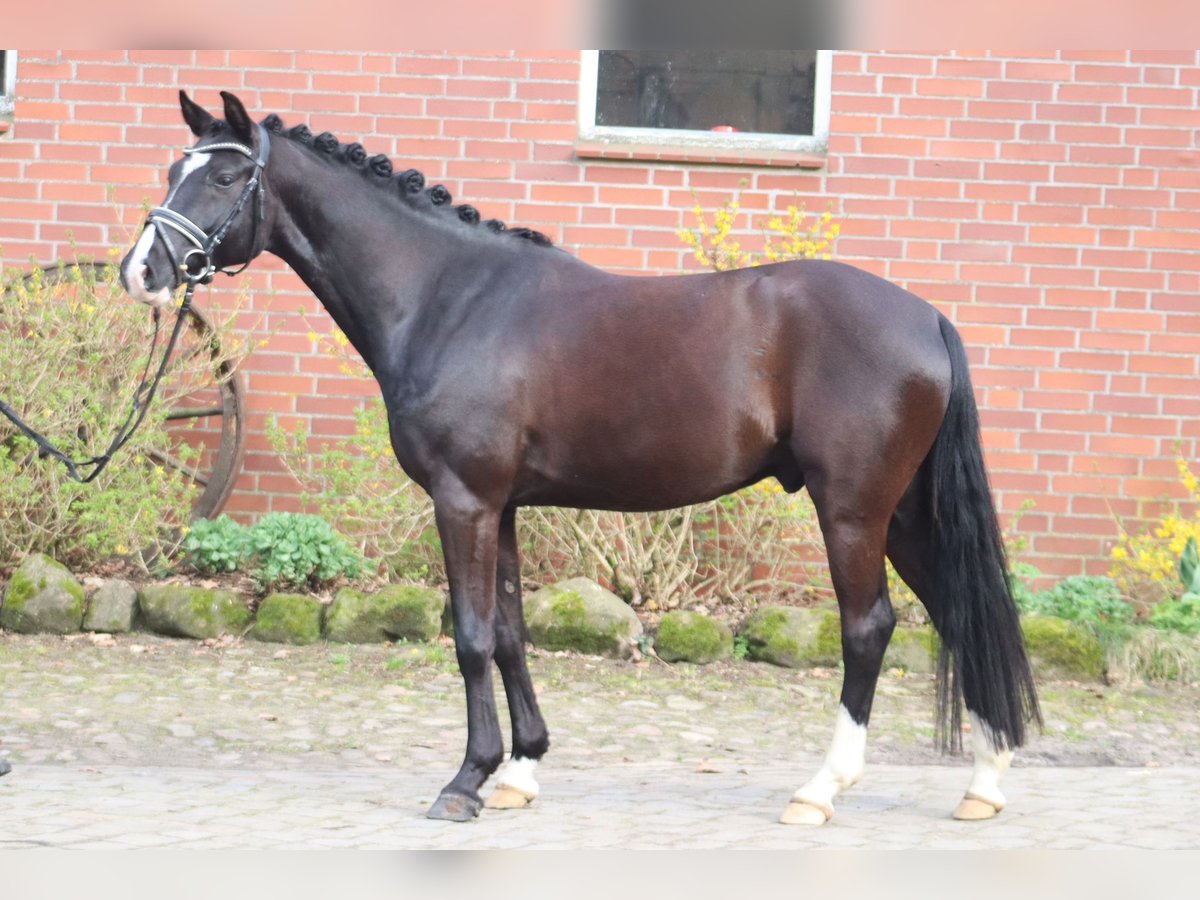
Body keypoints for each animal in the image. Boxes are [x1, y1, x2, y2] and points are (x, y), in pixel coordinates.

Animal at [124, 90, 1041, 825]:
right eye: (172, 166)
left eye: (224, 179)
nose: (142, 270)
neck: (450, 299)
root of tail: (926, 317)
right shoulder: (501, 506)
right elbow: (510, 634)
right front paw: (519, 771)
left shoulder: (462, 500)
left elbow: (469, 638)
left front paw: (464, 782)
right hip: (905, 511)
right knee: (958, 610)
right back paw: (986, 782)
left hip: (851, 508)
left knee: (869, 627)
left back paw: (820, 790)